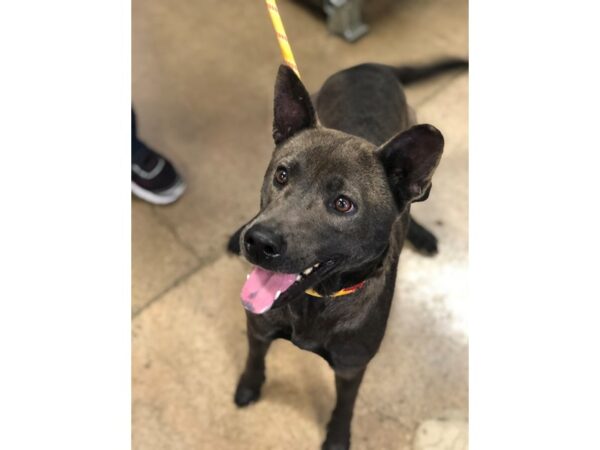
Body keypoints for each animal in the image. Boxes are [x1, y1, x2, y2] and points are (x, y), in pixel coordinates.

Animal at [227, 59, 466, 450]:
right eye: (281, 175)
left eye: (343, 204)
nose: (258, 243)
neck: (317, 300)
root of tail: (373, 64)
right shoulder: (258, 329)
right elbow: (253, 360)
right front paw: (249, 386)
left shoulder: (352, 367)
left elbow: (345, 406)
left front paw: (338, 438)